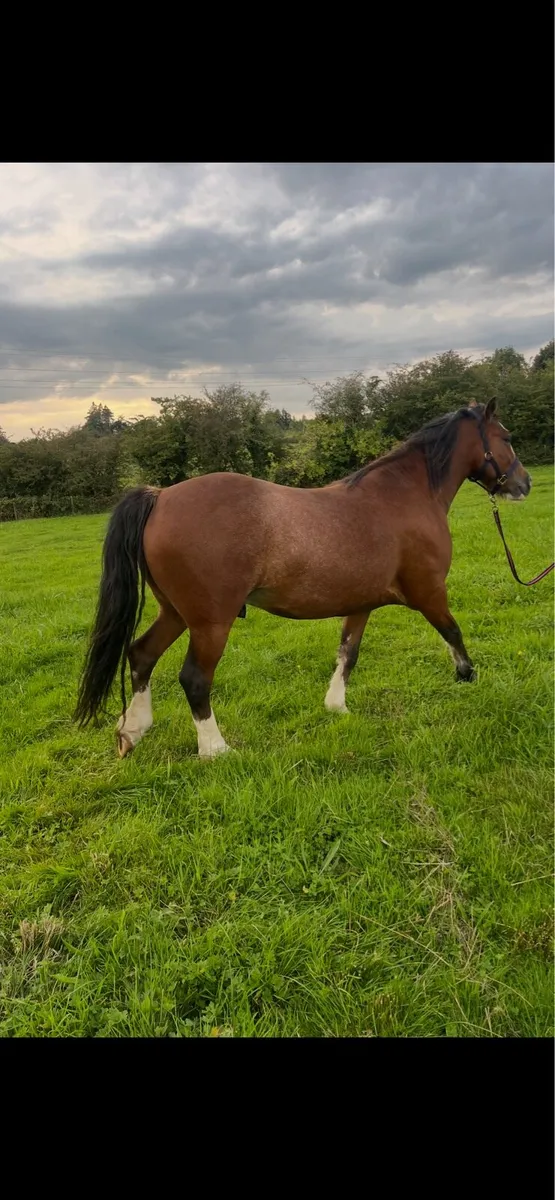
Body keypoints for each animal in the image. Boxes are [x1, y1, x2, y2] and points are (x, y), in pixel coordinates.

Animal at [74, 398, 531, 759]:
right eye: (507, 437)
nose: (524, 483)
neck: (405, 495)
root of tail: (161, 496)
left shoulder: (361, 604)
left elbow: (348, 653)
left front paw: (336, 707)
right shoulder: (429, 591)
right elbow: (452, 631)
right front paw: (467, 676)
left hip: (175, 612)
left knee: (141, 655)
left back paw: (132, 732)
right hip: (210, 623)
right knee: (195, 679)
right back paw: (215, 749)